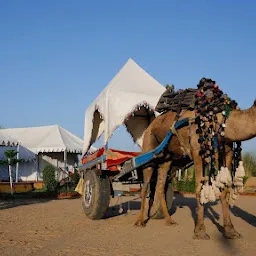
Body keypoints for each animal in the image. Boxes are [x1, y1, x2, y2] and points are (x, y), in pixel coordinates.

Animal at [135, 94, 255, 240]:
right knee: (146, 182)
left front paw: (230, 231)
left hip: (167, 159)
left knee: (160, 185)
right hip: (149, 145)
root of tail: (149, 126)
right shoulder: (197, 150)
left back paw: (169, 220)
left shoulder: (227, 151)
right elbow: (199, 187)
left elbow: (224, 188)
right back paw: (140, 222)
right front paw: (200, 231)